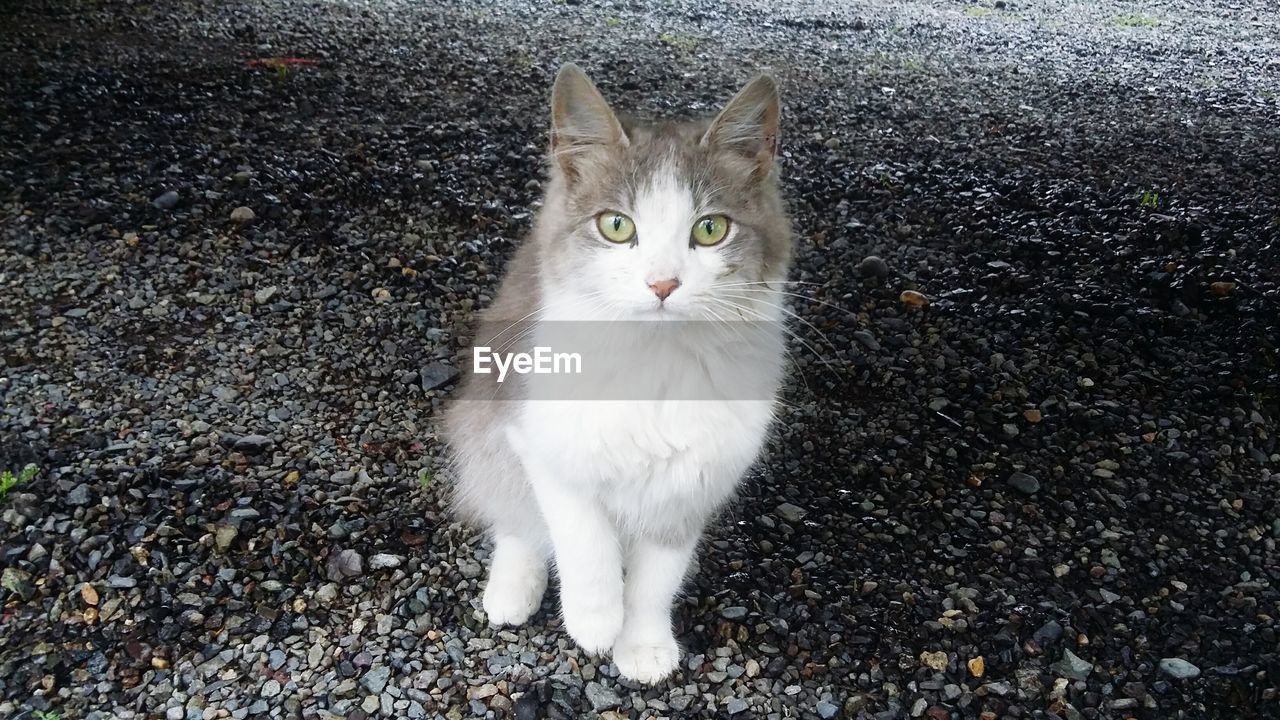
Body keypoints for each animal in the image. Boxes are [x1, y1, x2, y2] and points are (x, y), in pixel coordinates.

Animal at [445, 64, 793, 681]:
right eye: (615, 225)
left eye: (710, 229)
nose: (662, 283)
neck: (654, 365)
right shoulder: (542, 441)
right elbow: (584, 537)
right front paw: (594, 619)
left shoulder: (692, 481)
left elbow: (657, 579)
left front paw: (642, 643)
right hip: (483, 429)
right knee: (516, 519)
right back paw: (512, 589)